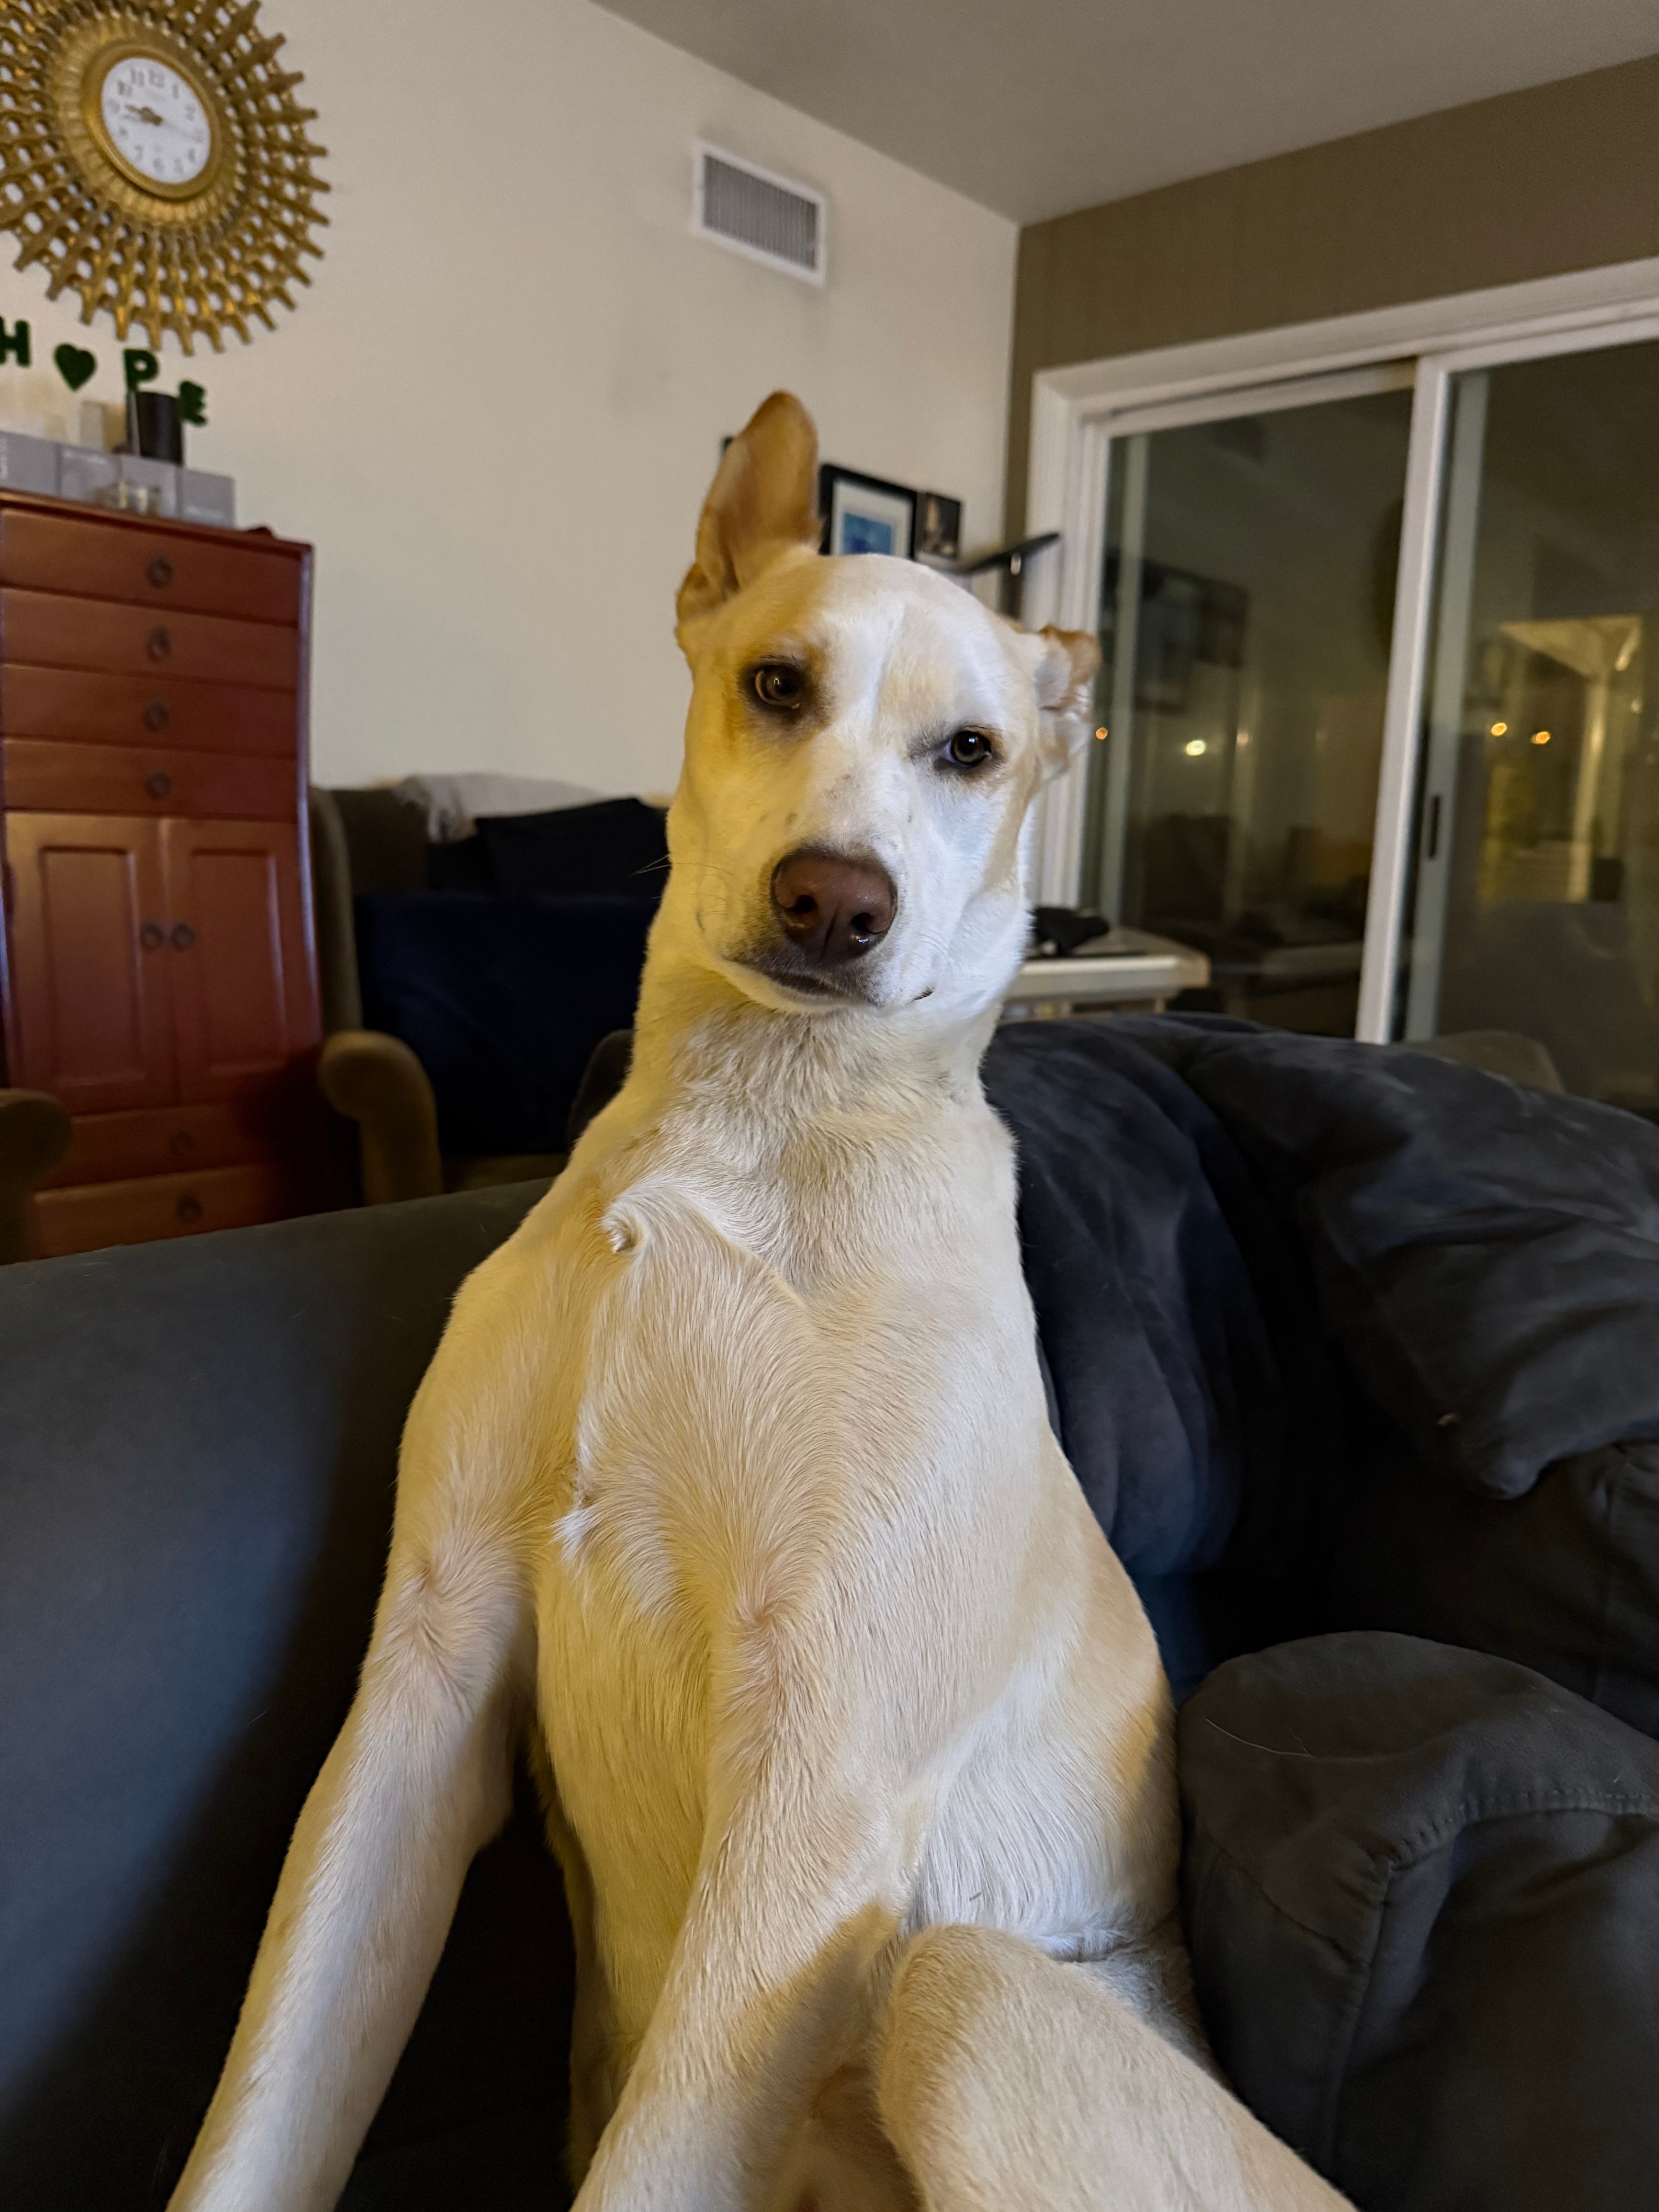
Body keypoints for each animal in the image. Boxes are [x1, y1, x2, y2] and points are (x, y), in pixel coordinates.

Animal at [170, 393, 1351, 2211]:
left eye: (972, 752)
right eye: (777, 683)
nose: (833, 902)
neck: (758, 1124)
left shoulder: (814, 1791)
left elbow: (655, 2163)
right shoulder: (424, 1694)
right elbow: (269, 2108)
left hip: (964, 1992)